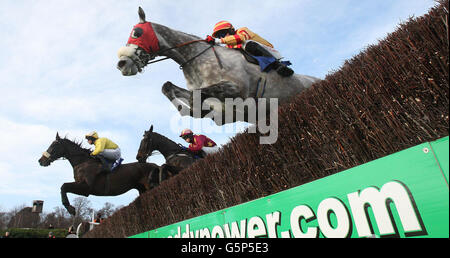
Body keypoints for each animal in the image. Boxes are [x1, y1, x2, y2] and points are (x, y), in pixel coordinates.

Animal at [116, 7, 320, 125]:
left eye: (137, 32)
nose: (121, 64)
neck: (196, 60)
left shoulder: (236, 89)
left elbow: (195, 100)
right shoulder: (222, 111)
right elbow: (168, 88)